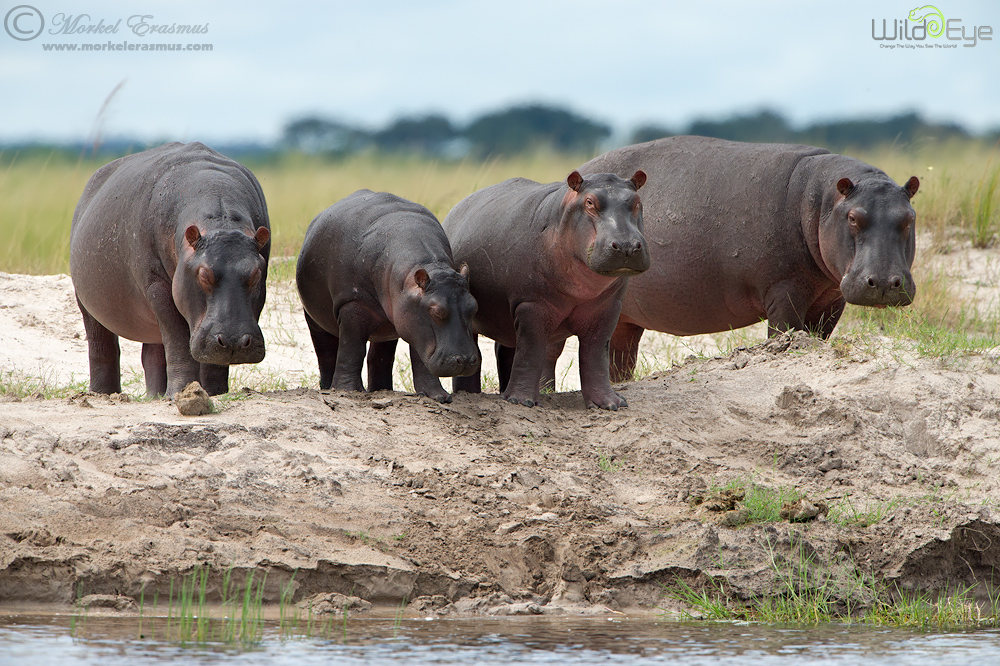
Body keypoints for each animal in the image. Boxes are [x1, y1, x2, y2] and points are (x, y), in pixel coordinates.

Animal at [70, 142, 271, 397]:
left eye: (256, 274)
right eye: (203, 274)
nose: (234, 341)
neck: (221, 219)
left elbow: (207, 358)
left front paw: (214, 393)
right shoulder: (158, 287)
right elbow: (177, 341)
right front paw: (181, 392)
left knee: (153, 354)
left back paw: (155, 396)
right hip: (86, 301)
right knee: (101, 344)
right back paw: (103, 393)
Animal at [296, 190, 481, 403]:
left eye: (474, 306)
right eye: (436, 310)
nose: (465, 360)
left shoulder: (415, 322)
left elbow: (420, 358)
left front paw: (438, 396)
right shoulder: (352, 305)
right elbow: (352, 349)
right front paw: (348, 391)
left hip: (387, 326)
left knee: (379, 356)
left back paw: (382, 390)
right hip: (314, 317)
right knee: (326, 350)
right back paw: (329, 387)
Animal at [443, 170, 648, 409]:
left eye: (636, 201)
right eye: (589, 202)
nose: (626, 245)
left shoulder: (608, 309)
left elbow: (596, 355)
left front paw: (609, 404)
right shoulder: (532, 306)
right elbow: (531, 352)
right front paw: (520, 401)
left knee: (505, 351)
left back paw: (502, 392)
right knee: (482, 353)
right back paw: (469, 395)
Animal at [579, 136, 919, 381]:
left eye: (909, 217)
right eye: (853, 217)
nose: (885, 282)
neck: (824, 200)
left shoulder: (831, 299)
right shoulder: (784, 291)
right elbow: (784, 332)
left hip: (625, 320)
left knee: (619, 360)